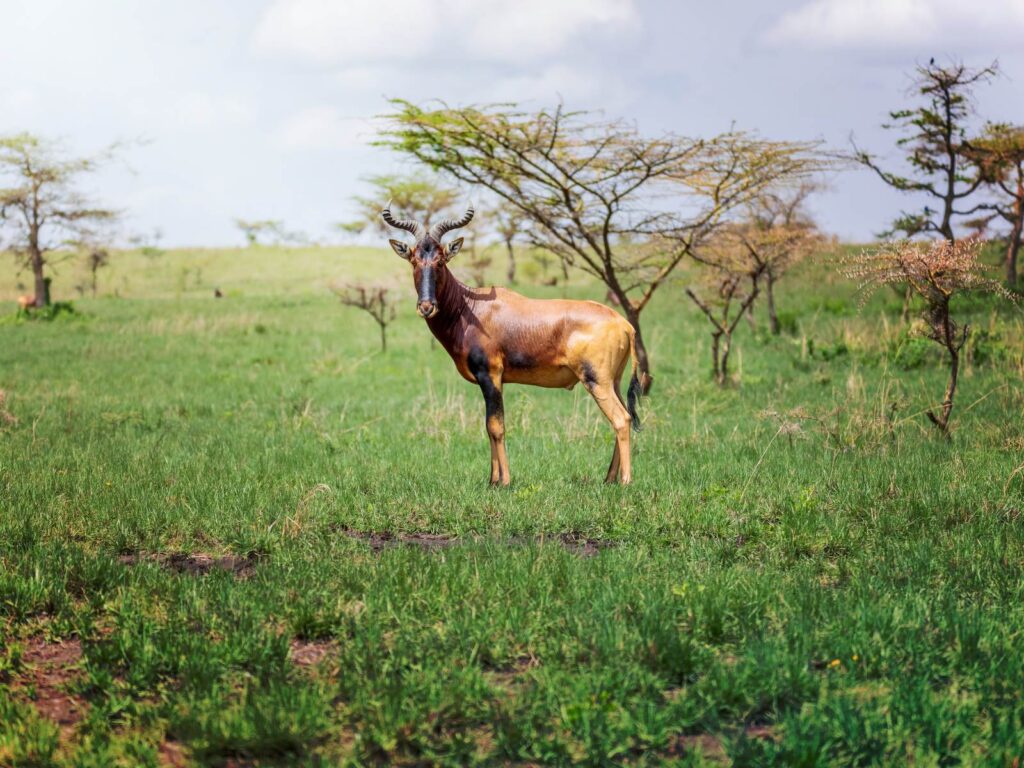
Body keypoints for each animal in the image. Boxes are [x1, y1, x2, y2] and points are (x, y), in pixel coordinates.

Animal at [380, 201, 643, 483]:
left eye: (440, 261)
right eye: (414, 260)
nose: (427, 306)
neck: (471, 308)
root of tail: (623, 323)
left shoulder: (491, 375)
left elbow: (496, 426)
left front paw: (504, 481)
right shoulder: (493, 380)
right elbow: (488, 426)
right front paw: (493, 481)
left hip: (596, 380)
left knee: (621, 419)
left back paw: (625, 481)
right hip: (612, 381)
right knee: (623, 416)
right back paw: (609, 479)